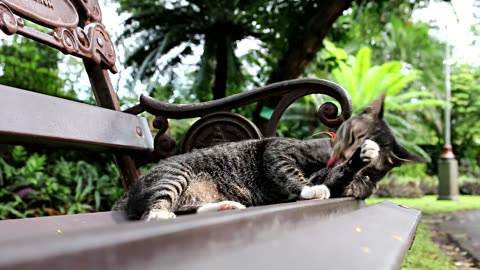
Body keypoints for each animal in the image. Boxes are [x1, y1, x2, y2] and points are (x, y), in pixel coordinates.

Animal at [115, 94, 424, 220]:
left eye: (376, 172)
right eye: (355, 134)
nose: (352, 152)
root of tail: (129, 193)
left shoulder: (340, 181)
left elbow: (338, 178)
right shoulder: (276, 150)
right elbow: (289, 174)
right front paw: (311, 189)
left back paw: (224, 207)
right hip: (175, 175)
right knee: (152, 211)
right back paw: (160, 215)